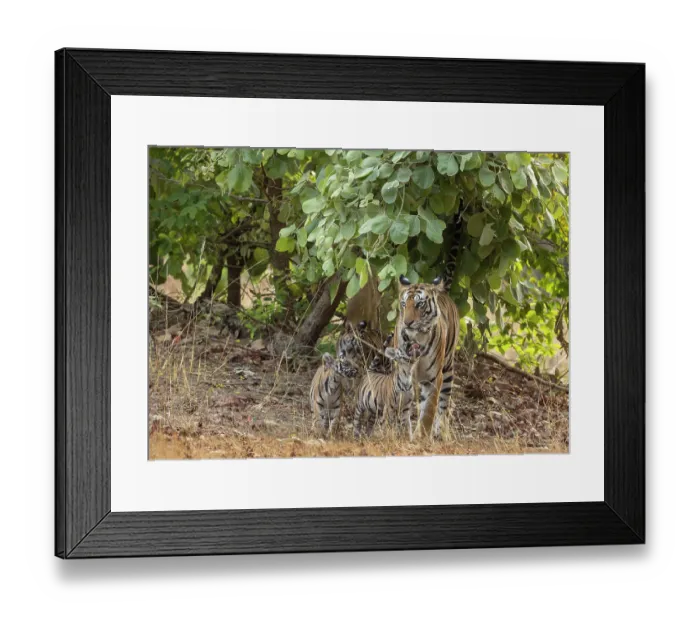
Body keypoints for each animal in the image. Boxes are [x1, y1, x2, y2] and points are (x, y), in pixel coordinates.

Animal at [394, 273, 461, 439]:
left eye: (420, 304)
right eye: (403, 304)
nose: (407, 322)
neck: (417, 338)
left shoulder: (434, 378)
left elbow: (429, 410)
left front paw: (421, 436)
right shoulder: (403, 375)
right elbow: (403, 406)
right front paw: (404, 432)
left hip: (448, 370)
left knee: (443, 404)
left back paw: (441, 433)